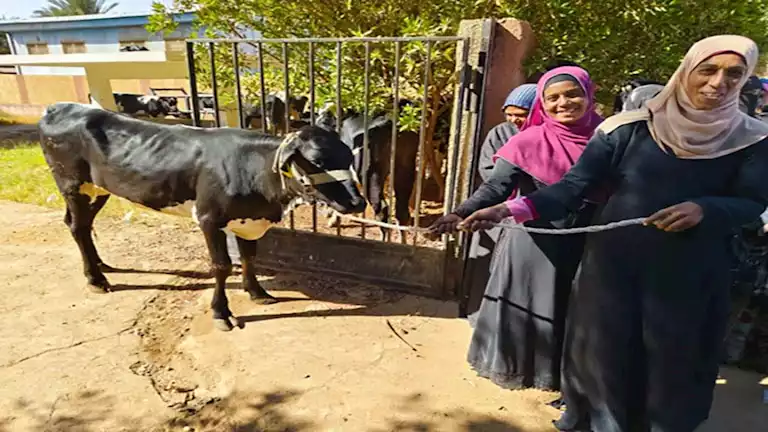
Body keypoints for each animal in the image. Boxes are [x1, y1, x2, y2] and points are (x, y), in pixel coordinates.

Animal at [39, 103, 366, 332]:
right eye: (317, 161)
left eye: (348, 156)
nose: (358, 202)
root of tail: (59, 107)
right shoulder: (209, 218)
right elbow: (222, 266)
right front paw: (221, 313)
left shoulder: (248, 222)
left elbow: (249, 257)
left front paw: (257, 292)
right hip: (72, 184)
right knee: (77, 226)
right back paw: (95, 278)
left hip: (98, 189)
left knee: (82, 225)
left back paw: (100, 265)